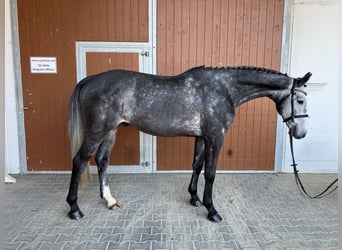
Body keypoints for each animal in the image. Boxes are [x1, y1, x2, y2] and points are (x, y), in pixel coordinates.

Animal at [65, 66, 312, 223]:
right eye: (300, 100)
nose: (301, 133)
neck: (224, 89)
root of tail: (88, 80)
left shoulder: (201, 137)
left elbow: (196, 165)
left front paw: (194, 198)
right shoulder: (215, 136)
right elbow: (210, 173)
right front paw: (212, 210)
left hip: (111, 131)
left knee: (102, 160)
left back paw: (109, 200)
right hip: (97, 131)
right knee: (79, 161)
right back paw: (74, 208)